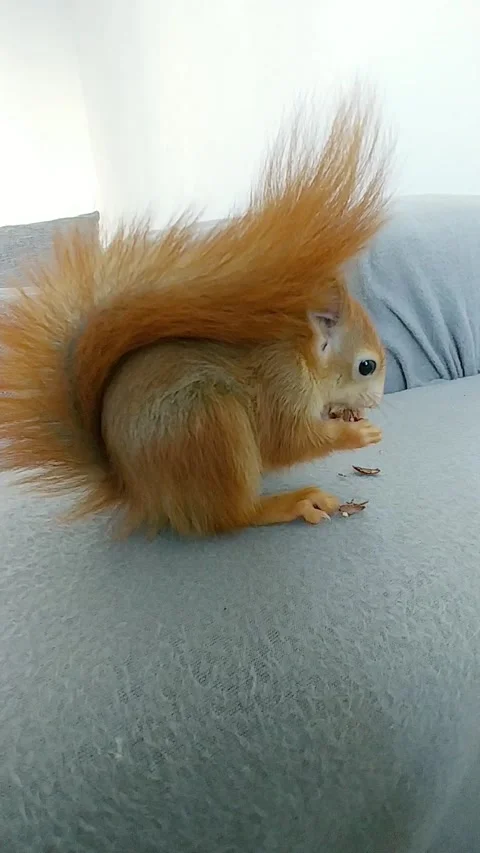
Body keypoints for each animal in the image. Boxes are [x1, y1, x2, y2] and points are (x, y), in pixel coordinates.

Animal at [0, 96, 389, 537]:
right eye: (366, 366)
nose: (376, 400)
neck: (301, 357)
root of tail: (137, 491)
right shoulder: (280, 387)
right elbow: (290, 441)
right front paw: (356, 432)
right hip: (212, 428)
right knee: (232, 516)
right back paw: (289, 503)